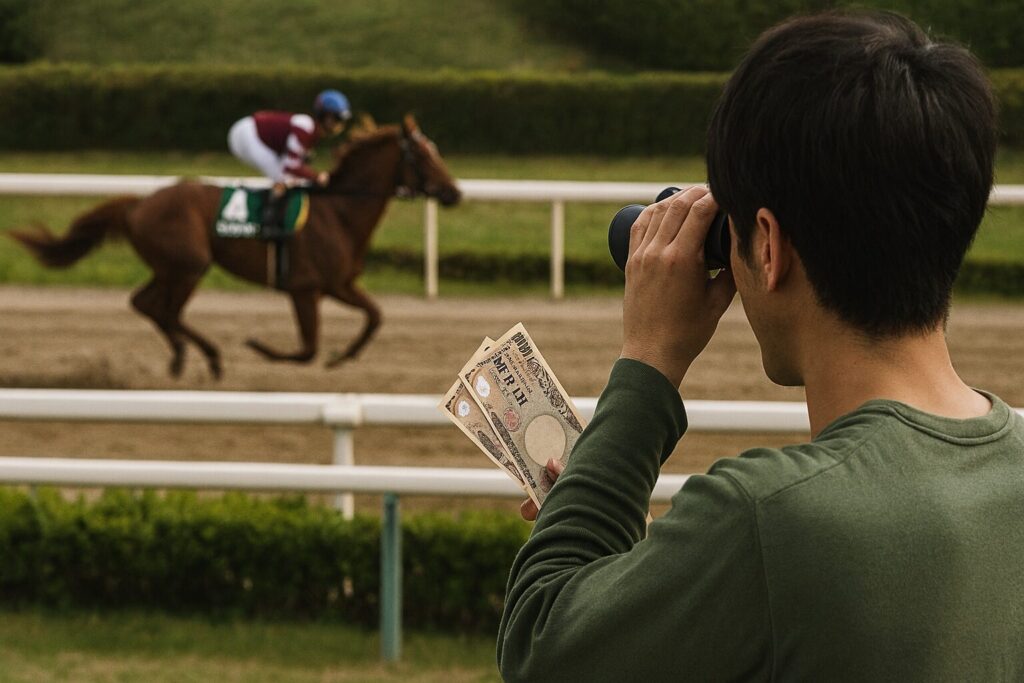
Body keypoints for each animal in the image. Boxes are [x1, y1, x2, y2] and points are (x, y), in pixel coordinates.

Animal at [10, 115, 461, 379]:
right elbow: (306, 349)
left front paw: (341, 356)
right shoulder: (305, 288)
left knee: (146, 304)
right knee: (165, 310)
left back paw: (182, 356)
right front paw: (261, 347)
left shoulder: (339, 285)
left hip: (171, 267)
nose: (455, 193)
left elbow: (374, 317)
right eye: (423, 155)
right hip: (189, 266)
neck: (340, 212)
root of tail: (139, 203)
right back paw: (209, 357)